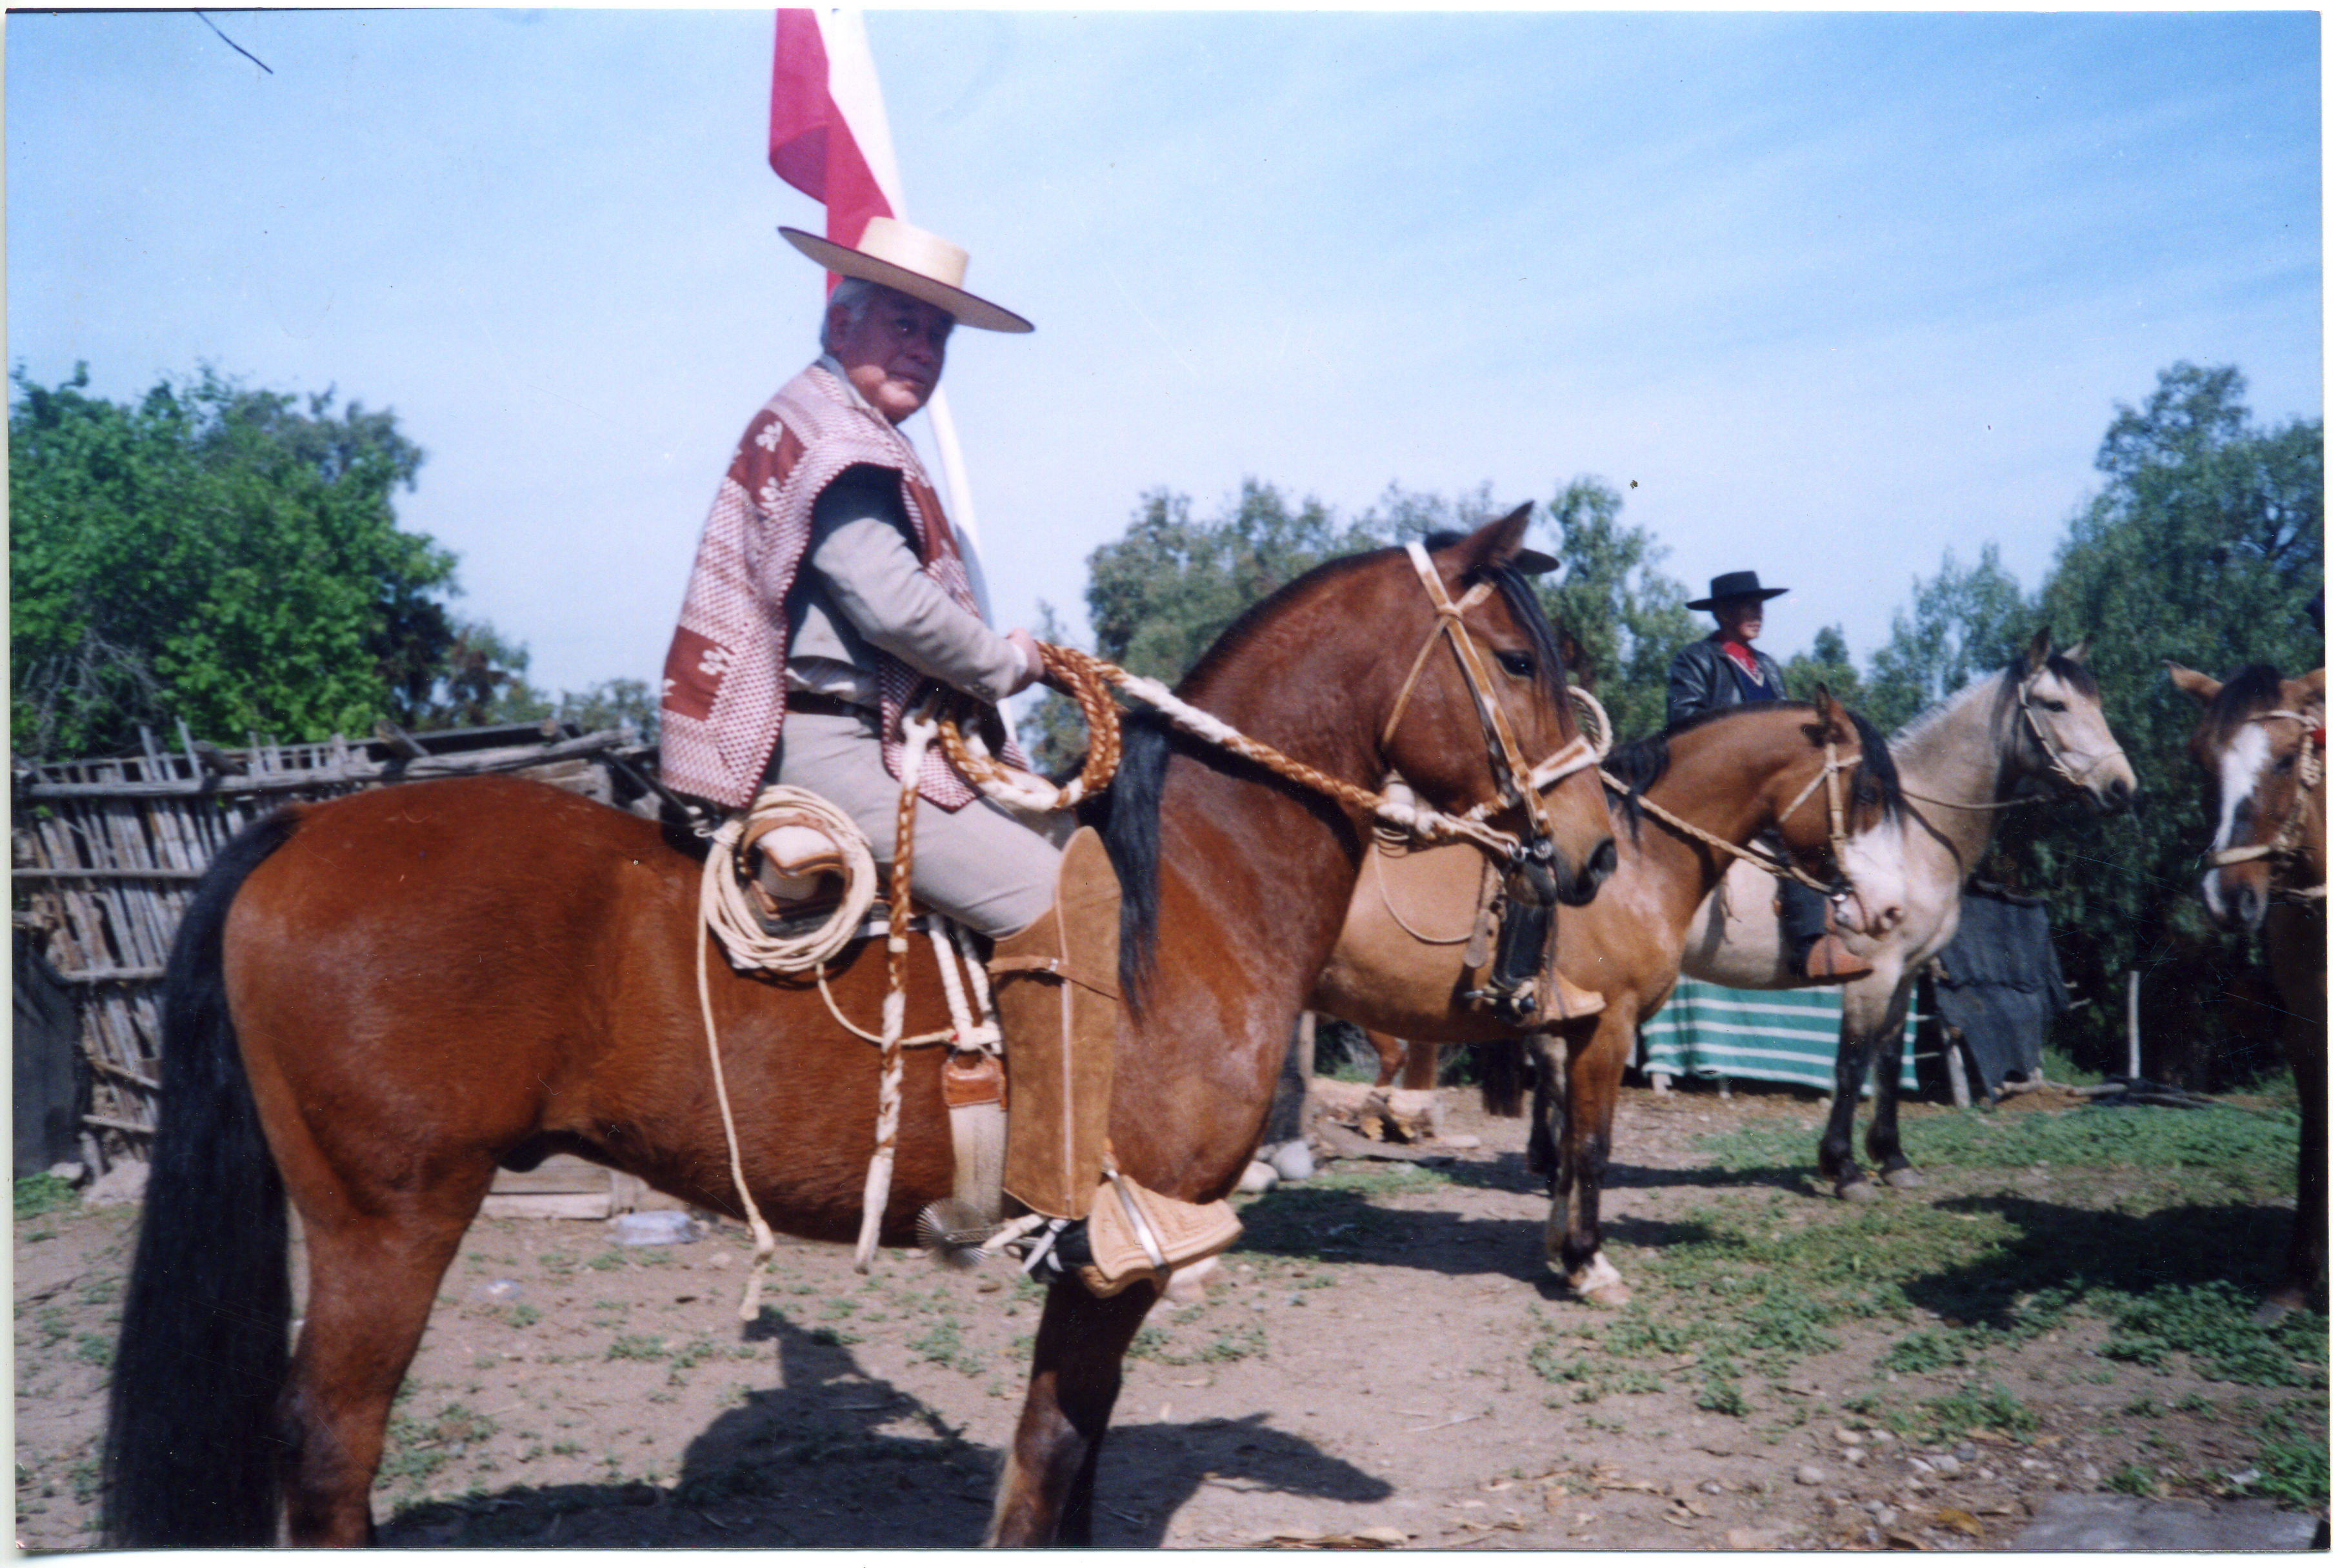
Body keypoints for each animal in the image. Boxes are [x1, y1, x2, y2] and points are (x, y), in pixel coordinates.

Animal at [100, 512, 1619, 1544]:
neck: (1182, 891)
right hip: (389, 1222)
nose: (1598, 850)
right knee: (327, 1446)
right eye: (1508, 655)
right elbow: (1050, 1458)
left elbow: (1076, 1458)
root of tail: (306, 825)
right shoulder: (1108, 1262)